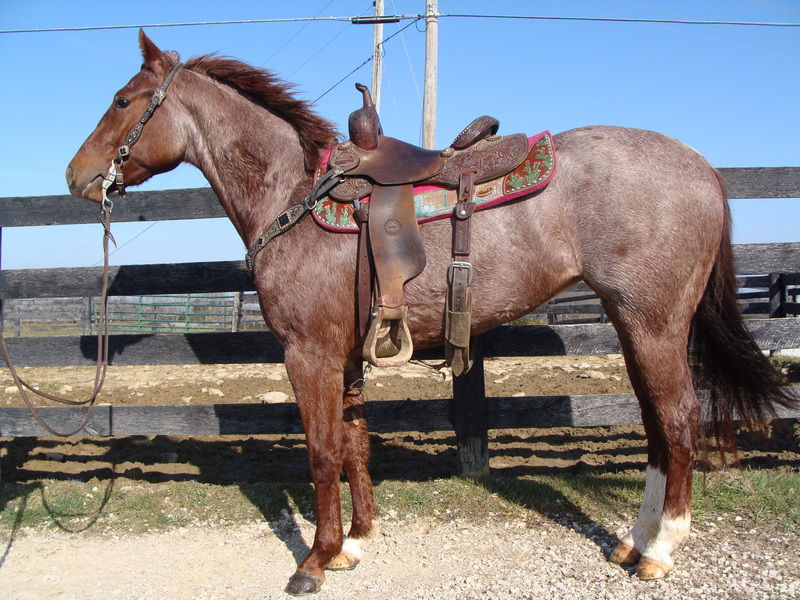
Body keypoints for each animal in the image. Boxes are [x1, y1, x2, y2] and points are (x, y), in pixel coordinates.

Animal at [66, 30, 794, 595]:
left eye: (123, 100)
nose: (77, 176)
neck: (294, 194)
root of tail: (702, 167)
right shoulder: (347, 357)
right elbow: (355, 443)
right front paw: (356, 543)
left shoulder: (308, 354)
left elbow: (321, 450)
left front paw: (314, 561)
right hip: (634, 325)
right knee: (655, 424)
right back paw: (634, 542)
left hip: (654, 323)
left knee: (679, 419)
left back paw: (661, 550)